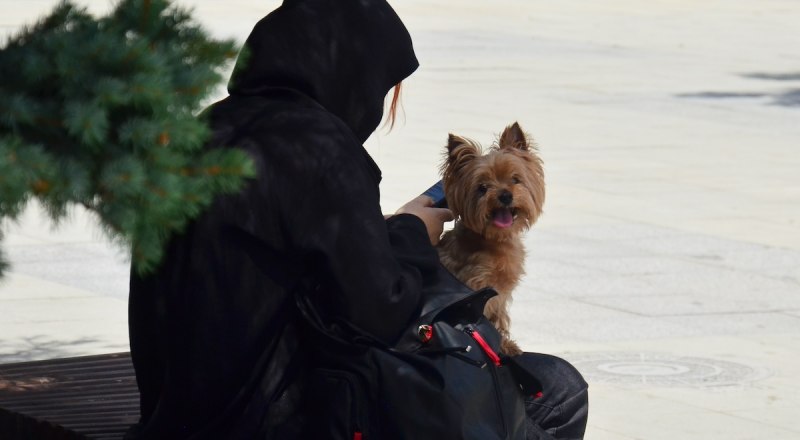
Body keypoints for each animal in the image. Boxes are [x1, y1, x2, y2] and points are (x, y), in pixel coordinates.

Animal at [438, 122, 544, 356]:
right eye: (482, 188)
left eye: (515, 179)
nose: (505, 195)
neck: (494, 240)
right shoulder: (478, 286)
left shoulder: (500, 294)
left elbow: (498, 318)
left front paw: (506, 344)